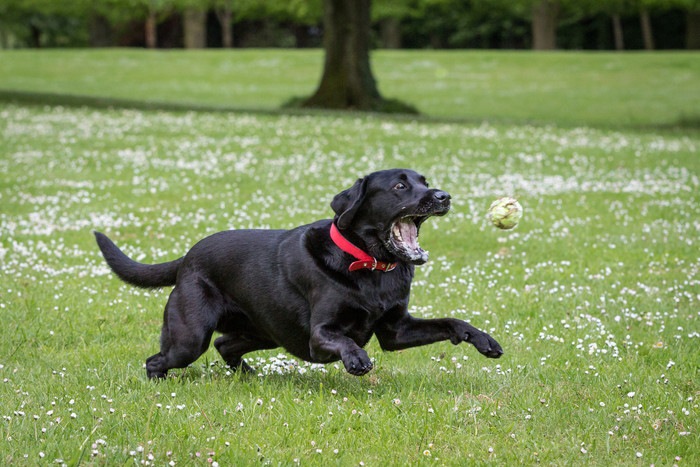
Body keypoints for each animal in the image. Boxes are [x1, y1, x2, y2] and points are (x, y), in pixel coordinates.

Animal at [94, 170, 504, 378]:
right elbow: (344, 341)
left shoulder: (396, 331)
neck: (369, 265)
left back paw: (247, 375)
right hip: (189, 337)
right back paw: (160, 380)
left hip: (262, 332)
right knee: (160, 358)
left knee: (225, 345)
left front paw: (483, 339)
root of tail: (187, 258)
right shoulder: (319, 336)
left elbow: (450, 322)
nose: (443, 196)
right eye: (401, 185)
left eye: (424, 181)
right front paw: (356, 359)